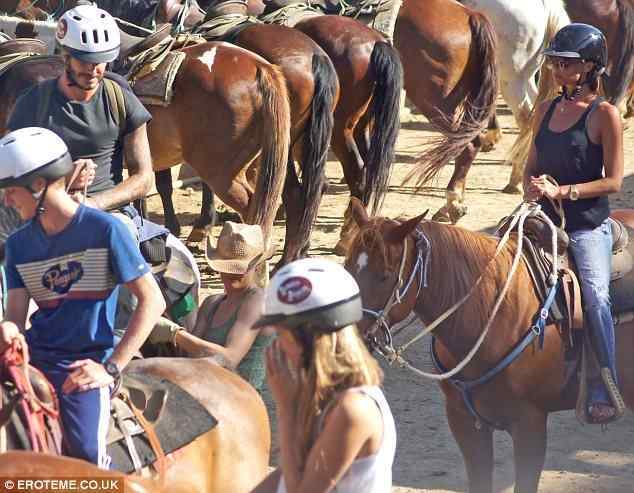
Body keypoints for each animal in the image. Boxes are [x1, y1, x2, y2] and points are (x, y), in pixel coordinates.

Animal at [344, 197, 632, 492]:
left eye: (385, 275)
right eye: (347, 266)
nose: (349, 339)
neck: (492, 313)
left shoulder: (530, 424)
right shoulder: (464, 422)